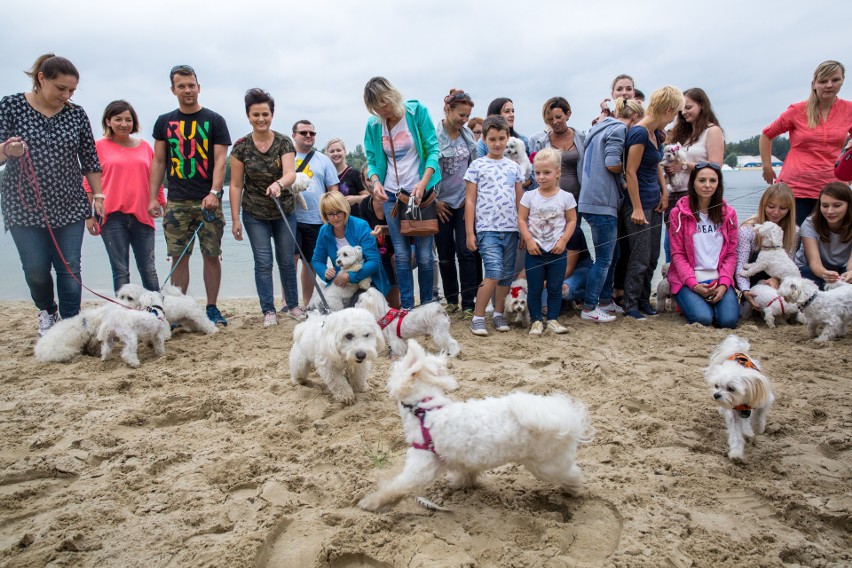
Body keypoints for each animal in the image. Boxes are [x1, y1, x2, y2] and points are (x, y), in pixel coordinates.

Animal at [358, 340, 592, 512]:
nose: (389, 355)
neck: (424, 408)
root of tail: (567, 417)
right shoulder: (463, 458)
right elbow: (466, 471)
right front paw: (461, 483)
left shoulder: (422, 465)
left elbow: (397, 487)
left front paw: (371, 502)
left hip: (545, 464)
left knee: (572, 474)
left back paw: (574, 490)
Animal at [704, 332, 776, 462]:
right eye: (716, 386)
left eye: (731, 388)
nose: (716, 395)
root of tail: (738, 351)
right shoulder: (734, 413)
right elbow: (736, 434)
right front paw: (736, 453)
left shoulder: (764, 399)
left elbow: (759, 414)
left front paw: (757, 427)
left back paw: (748, 430)